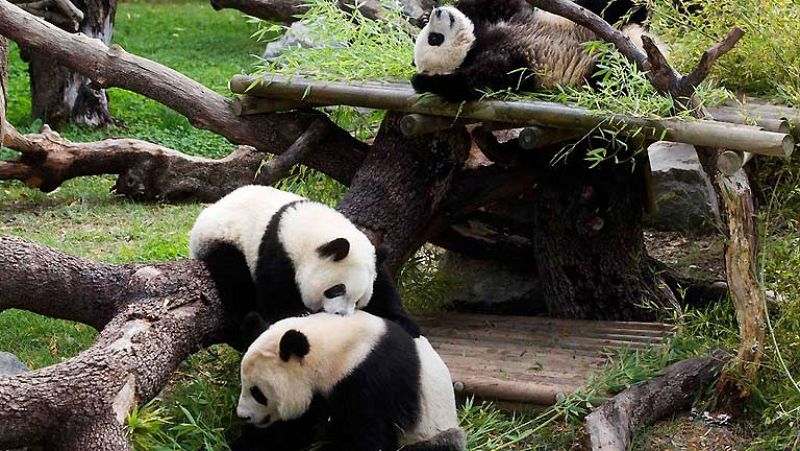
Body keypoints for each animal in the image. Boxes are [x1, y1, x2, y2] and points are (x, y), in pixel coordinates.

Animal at [188, 185, 420, 349]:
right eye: (336, 289)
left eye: (360, 300)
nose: (341, 315)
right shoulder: (277, 253)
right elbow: (275, 300)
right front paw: (299, 314)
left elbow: (383, 286)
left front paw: (406, 324)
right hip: (220, 239)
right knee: (236, 281)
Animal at [234, 311, 466, 451]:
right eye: (244, 384)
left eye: (258, 393)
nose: (243, 415)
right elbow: (294, 426)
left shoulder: (371, 379)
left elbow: (368, 433)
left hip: (430, 429)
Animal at [411, 0, 668, 102]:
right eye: (435, 39)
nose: (439, 12)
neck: (476, 44)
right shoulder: (510, 62)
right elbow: (478, 83)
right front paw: (423, 81)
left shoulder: (513, 16)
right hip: (597, 71)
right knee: (611, 74)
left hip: (613, 24)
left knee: (616, 11)